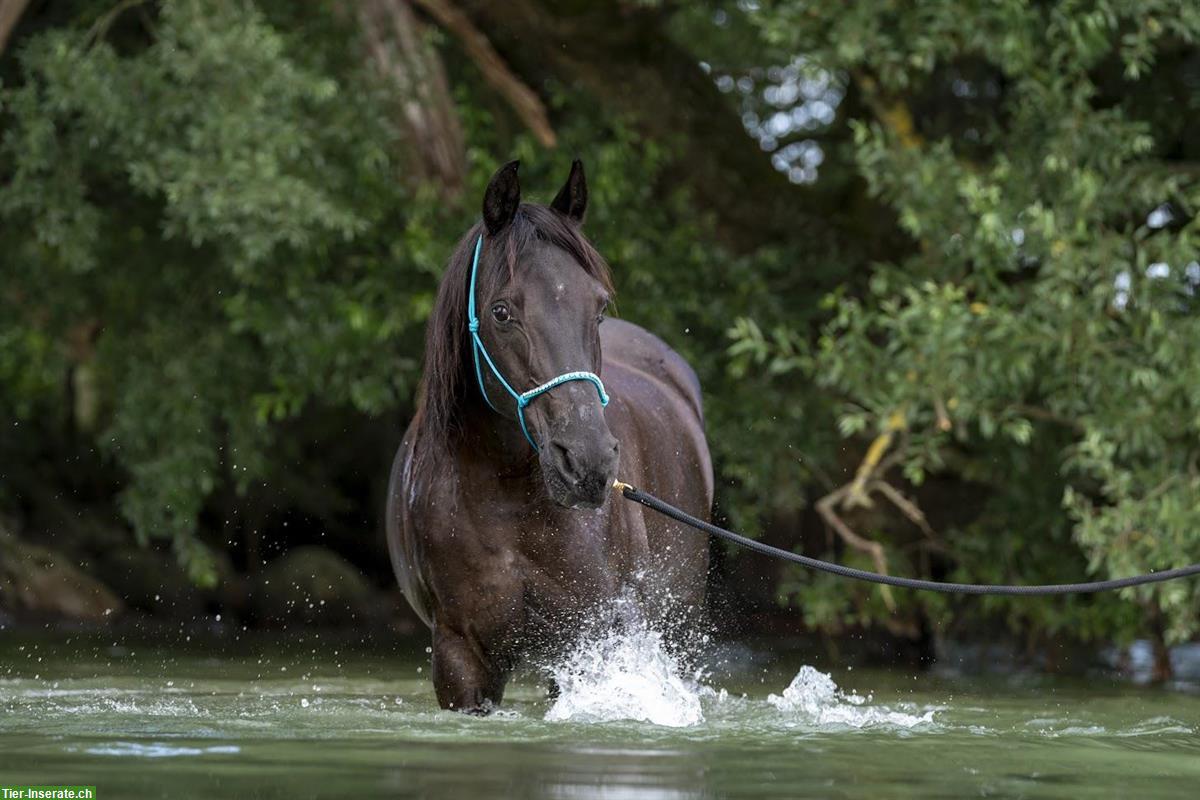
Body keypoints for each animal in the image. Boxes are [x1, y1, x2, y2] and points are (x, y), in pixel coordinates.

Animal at [386, 158, 710, 714]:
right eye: (501, 311)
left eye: (599, 307)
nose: (588, 464)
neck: (508, 493)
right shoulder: (460, 657)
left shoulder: (593, 641)